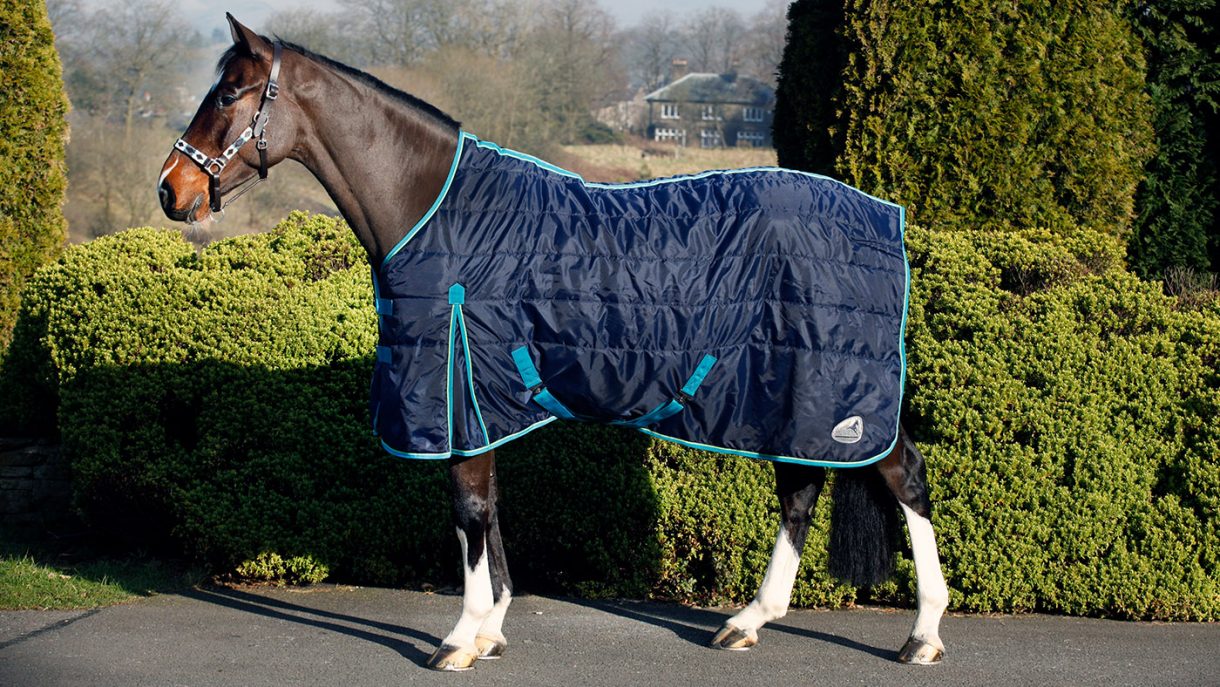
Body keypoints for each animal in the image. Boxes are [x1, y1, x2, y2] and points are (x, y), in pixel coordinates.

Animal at [159, 14, 949, 672]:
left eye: (230, 93)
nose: (171, 189)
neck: (439, 211)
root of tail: (883, 217)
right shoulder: (482, 403)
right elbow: (488, 513)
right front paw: (491, 629)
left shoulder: (459, 391)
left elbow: (470, 514)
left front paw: (459, 637)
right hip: (786, 394)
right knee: (802, 490)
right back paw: (750, 620)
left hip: (837, 395)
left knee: (902, 476)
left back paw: (923, 633)